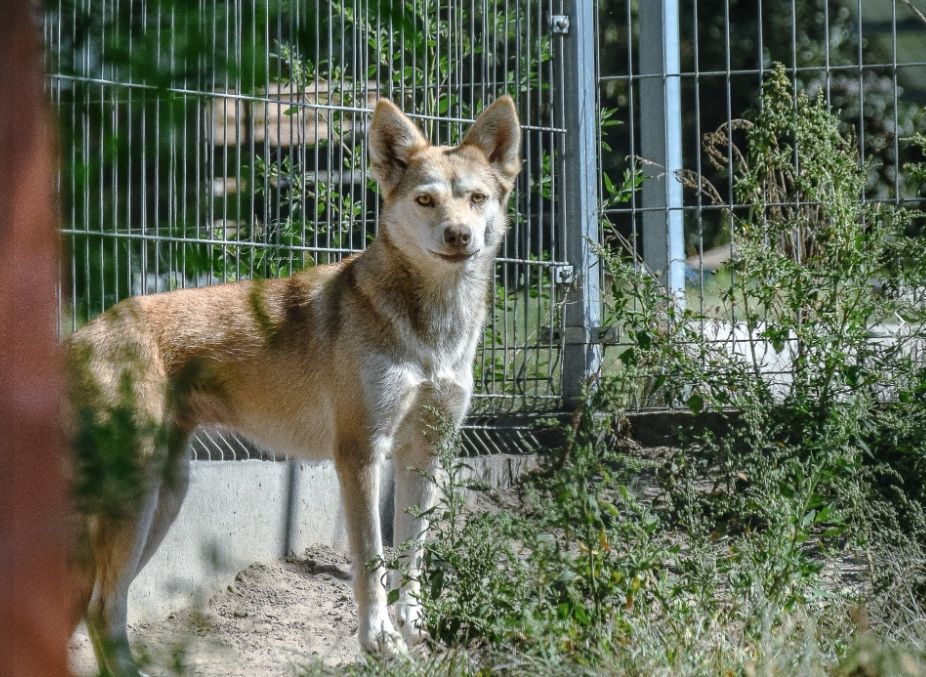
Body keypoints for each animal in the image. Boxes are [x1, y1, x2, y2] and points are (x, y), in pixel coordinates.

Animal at [67, 93, 520, 672]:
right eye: (426, 200)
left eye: (477, 199)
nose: (458, 235)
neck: (433, 332)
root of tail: (79, 335)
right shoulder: (359, 454)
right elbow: (371, 563)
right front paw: (379, 642)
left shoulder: (424, 452)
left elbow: (411, 559)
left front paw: (413, 632)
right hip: (139, 499)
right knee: (102, 606)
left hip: (165, 496)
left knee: (100, 605)